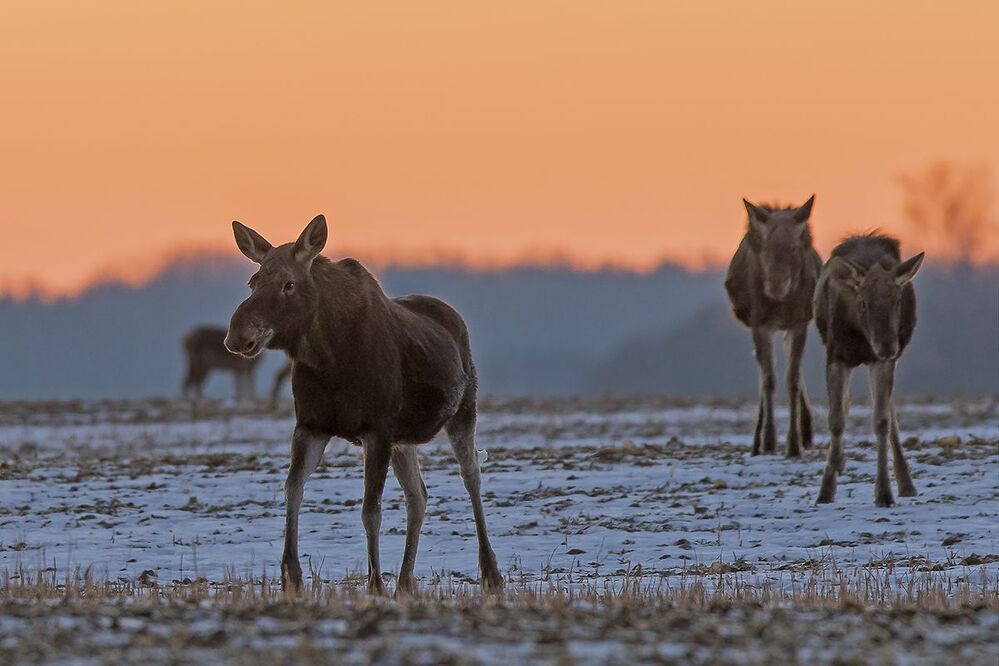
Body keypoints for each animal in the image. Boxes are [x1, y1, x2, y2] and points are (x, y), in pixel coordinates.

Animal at [224, 215, 503, 595]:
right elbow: (292, 489)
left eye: (288, 284)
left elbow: (371, 510)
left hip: (463, 410)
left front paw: (375, 585)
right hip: (404, 439)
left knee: (471, 475)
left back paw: (490, 573)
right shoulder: (311, 425)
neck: (328, 359)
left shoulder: (377, 430)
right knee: (418, 495)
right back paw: (405, 583)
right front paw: (291, 576)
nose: (237, 334)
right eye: (252, 282)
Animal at [725, 196, 822, 457]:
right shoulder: (760, 324)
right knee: (762, 371)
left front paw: (794, 443)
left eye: (794, 248)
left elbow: (792, 379)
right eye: (766, 248)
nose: (776, 285)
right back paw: (757, 441)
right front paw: (768, 441)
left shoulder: (799, 322)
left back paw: (807, 432)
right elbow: (769, 379)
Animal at [813, 233, 924, 507]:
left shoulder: (882, 361)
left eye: (897, 300)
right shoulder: (836, 354)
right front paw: (825, 490)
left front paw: (884, 493)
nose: (887, 344)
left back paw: (907, 484)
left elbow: (882, 421)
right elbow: (836, 419)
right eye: (863, 303)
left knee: (888, 411)